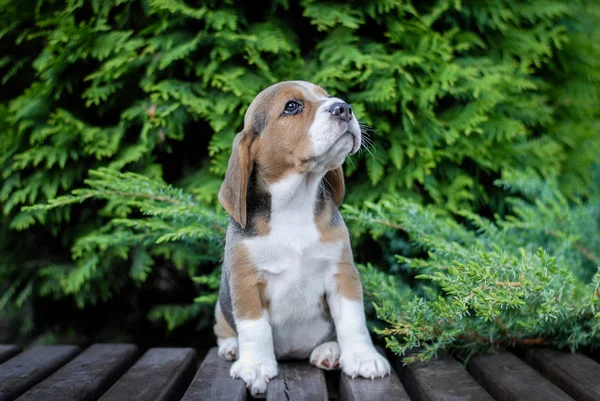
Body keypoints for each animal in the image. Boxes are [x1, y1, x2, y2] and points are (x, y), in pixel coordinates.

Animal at [213, 79, 392, 392]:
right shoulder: (246, 282)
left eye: (327, 96)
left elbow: (353, 321)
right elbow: (254, 328)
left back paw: (329, 350)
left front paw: (362, 358)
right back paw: (231, 347)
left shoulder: (342, 273)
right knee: (224, 329)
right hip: (218, 309)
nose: (344, 108)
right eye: (292, 106)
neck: (294, 201)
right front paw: (255, 365)